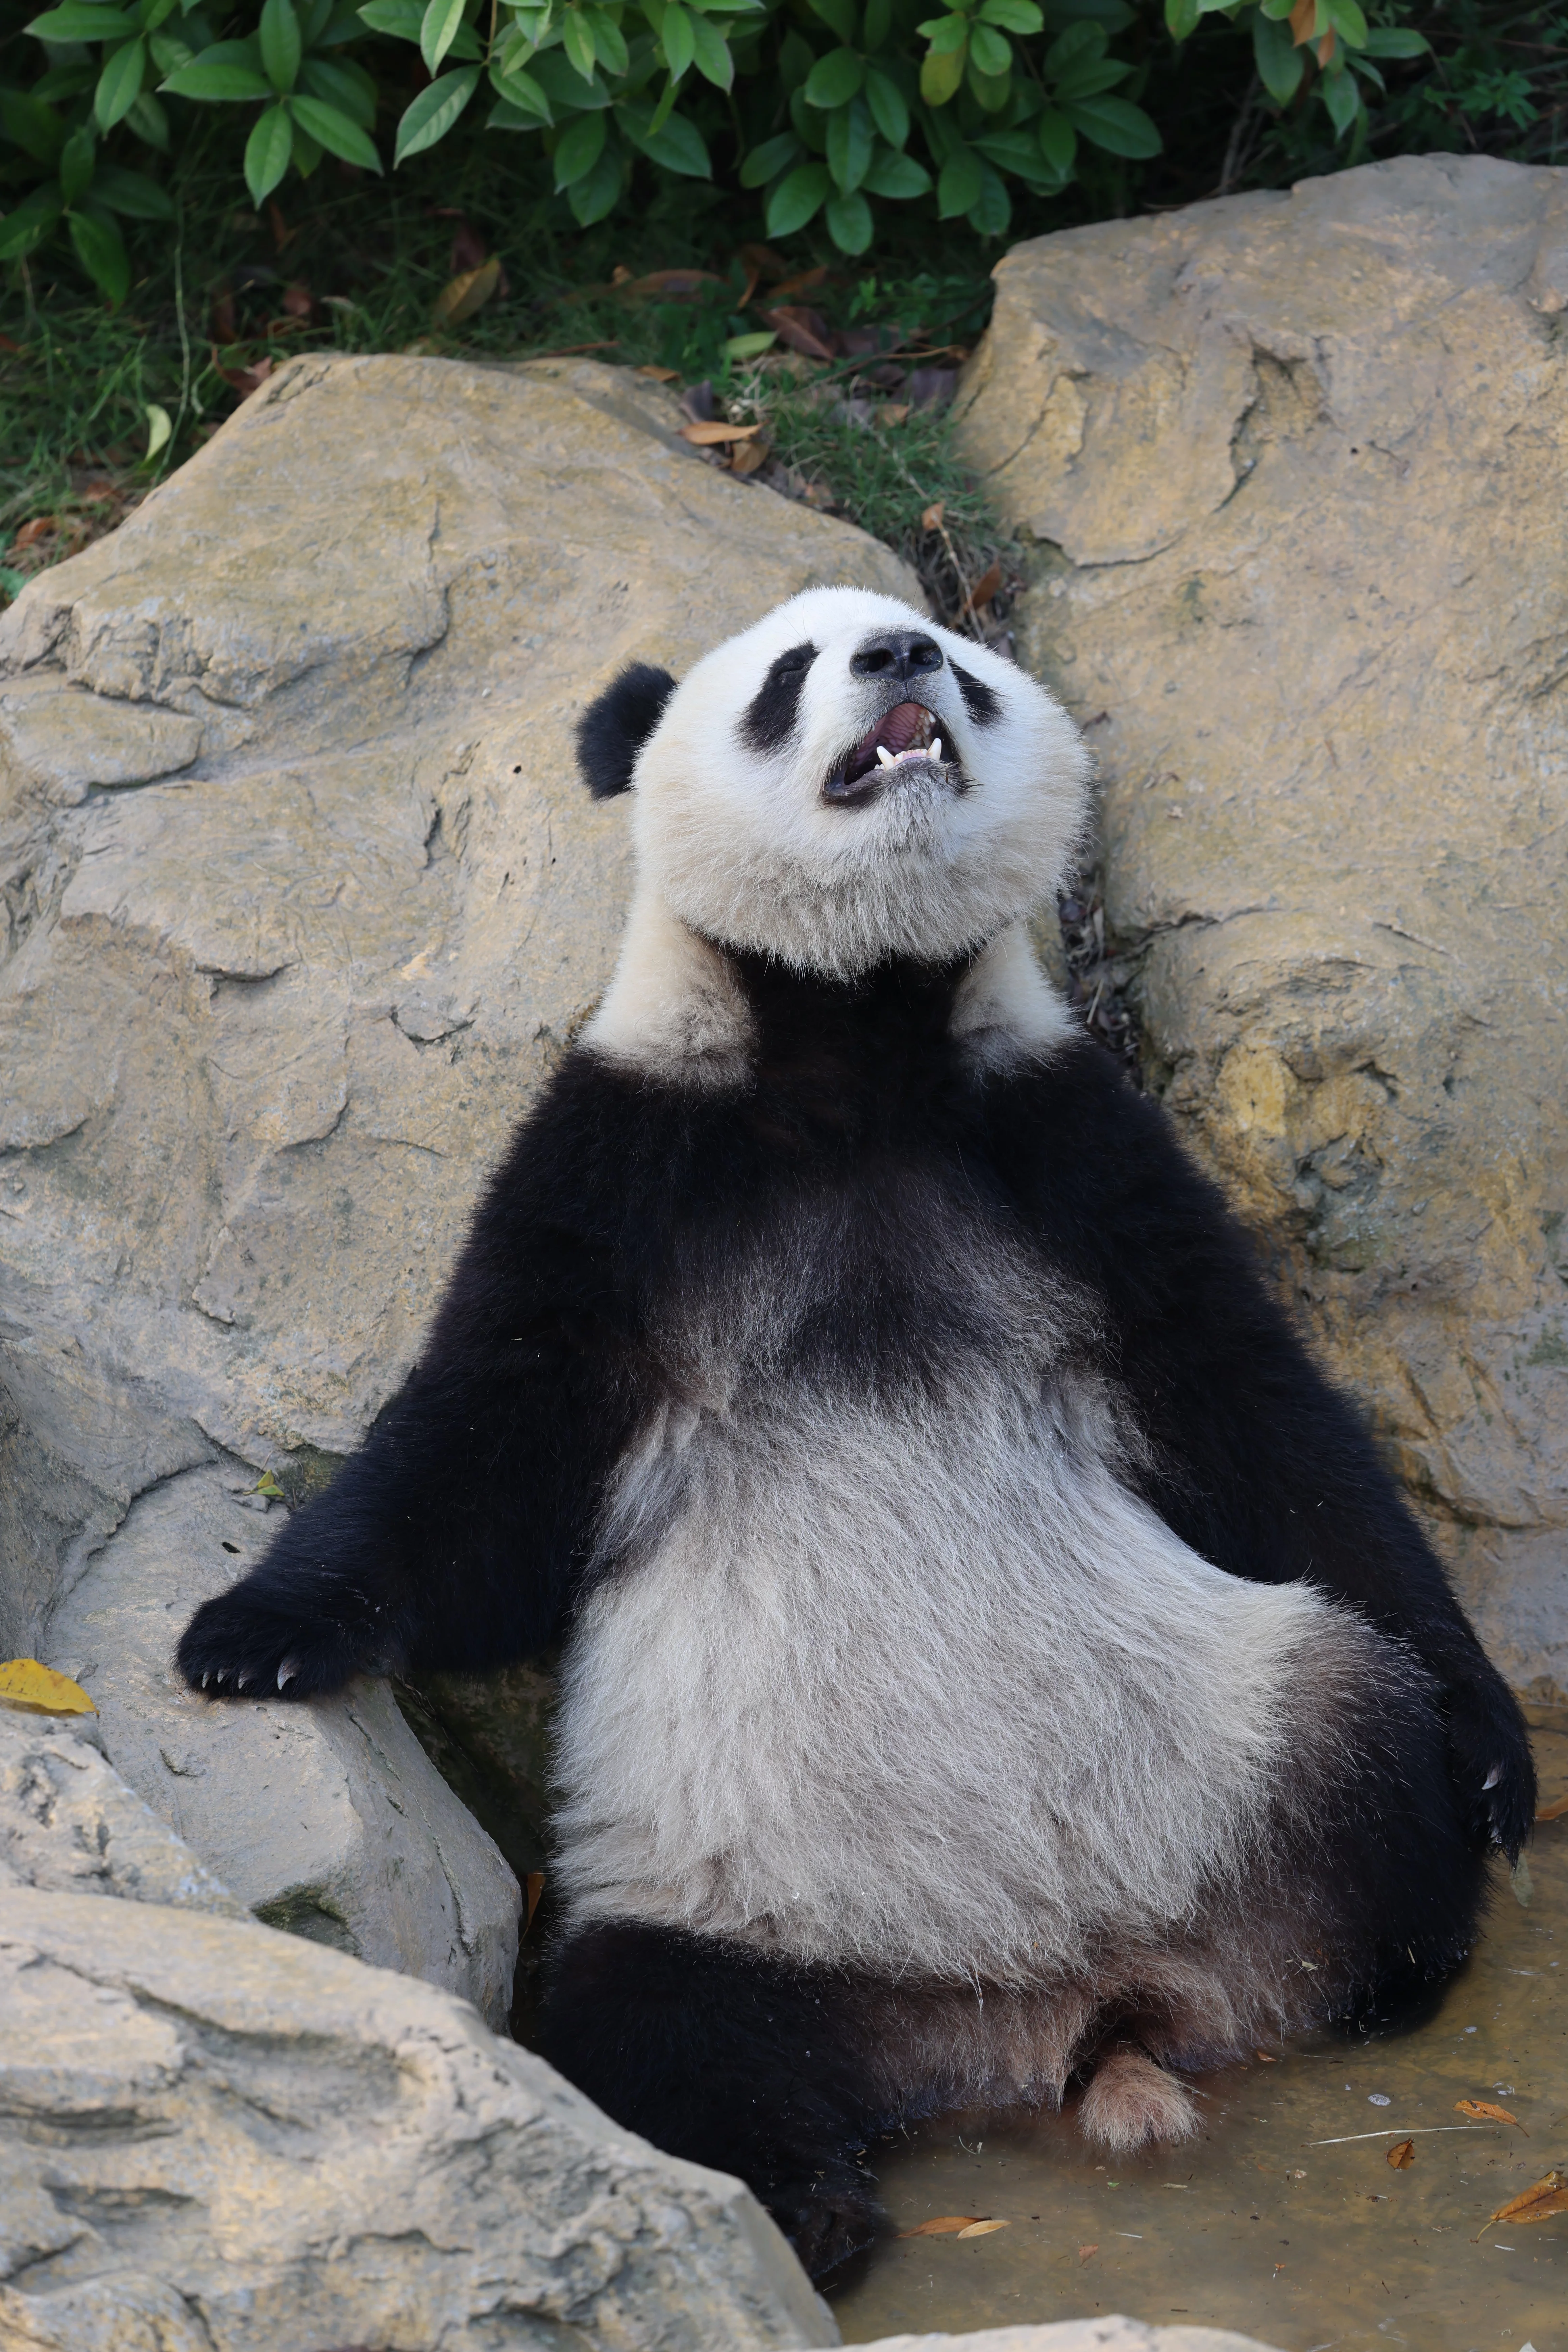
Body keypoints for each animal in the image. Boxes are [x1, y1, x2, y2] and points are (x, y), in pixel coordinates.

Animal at [179, 585, 1534, 2278]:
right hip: (721, 1904)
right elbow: (482, 1454)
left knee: (1372, 1748)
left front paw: (1501, 1759)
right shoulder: (622, 1164)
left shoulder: (1064, 1142)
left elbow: (1252, 1417)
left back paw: (1390, 1953)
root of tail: (1068, 2010)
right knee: (652, 2038)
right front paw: (249, 1636)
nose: (897, 659)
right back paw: (805, 2203)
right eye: (786, 674)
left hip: (1248, 1748)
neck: (852, 1037)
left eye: (951, 659)